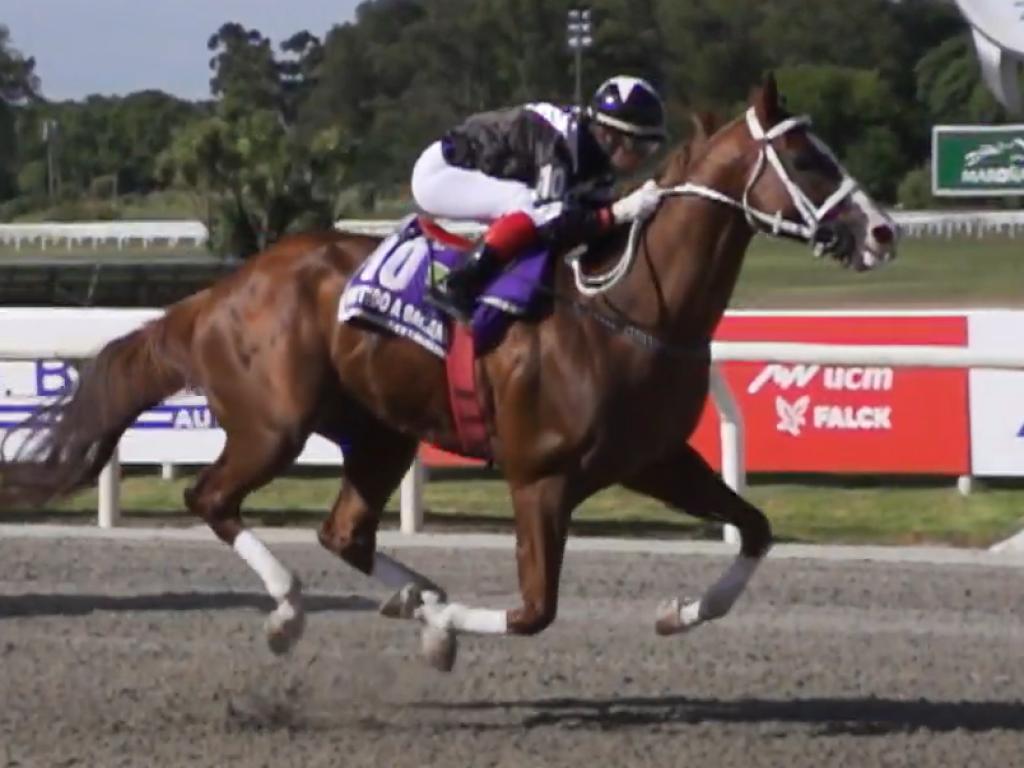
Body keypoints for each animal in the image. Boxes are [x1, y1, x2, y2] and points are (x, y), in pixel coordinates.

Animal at [0, 73, 897, 671]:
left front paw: (681, 611)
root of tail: (222, 289)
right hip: (273, 423)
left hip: (379, 433)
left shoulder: (654, 459)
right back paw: (292, 609)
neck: (633, 308)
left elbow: (756, 527)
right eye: (808, 158)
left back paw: (405, 593)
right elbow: (534, 611)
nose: (885, 232)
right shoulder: (539, 477)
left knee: (344, 531)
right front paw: (443, 627)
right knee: (212, 499)